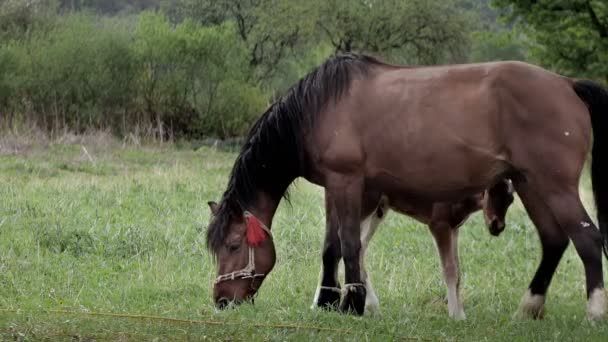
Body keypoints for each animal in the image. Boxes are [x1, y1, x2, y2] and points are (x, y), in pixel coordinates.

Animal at [312, 180, 516, 320]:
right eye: (490, 193)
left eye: (511, 199)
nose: (497, 227)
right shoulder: (439, 224)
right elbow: (449, 270)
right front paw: (455, 315)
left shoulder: (454, 228)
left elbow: (458, 271)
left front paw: (461, 313)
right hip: (364, 207)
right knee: (339, 245)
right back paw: (323, 301)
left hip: (378, 210)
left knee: (355, 248)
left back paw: (371, 305)